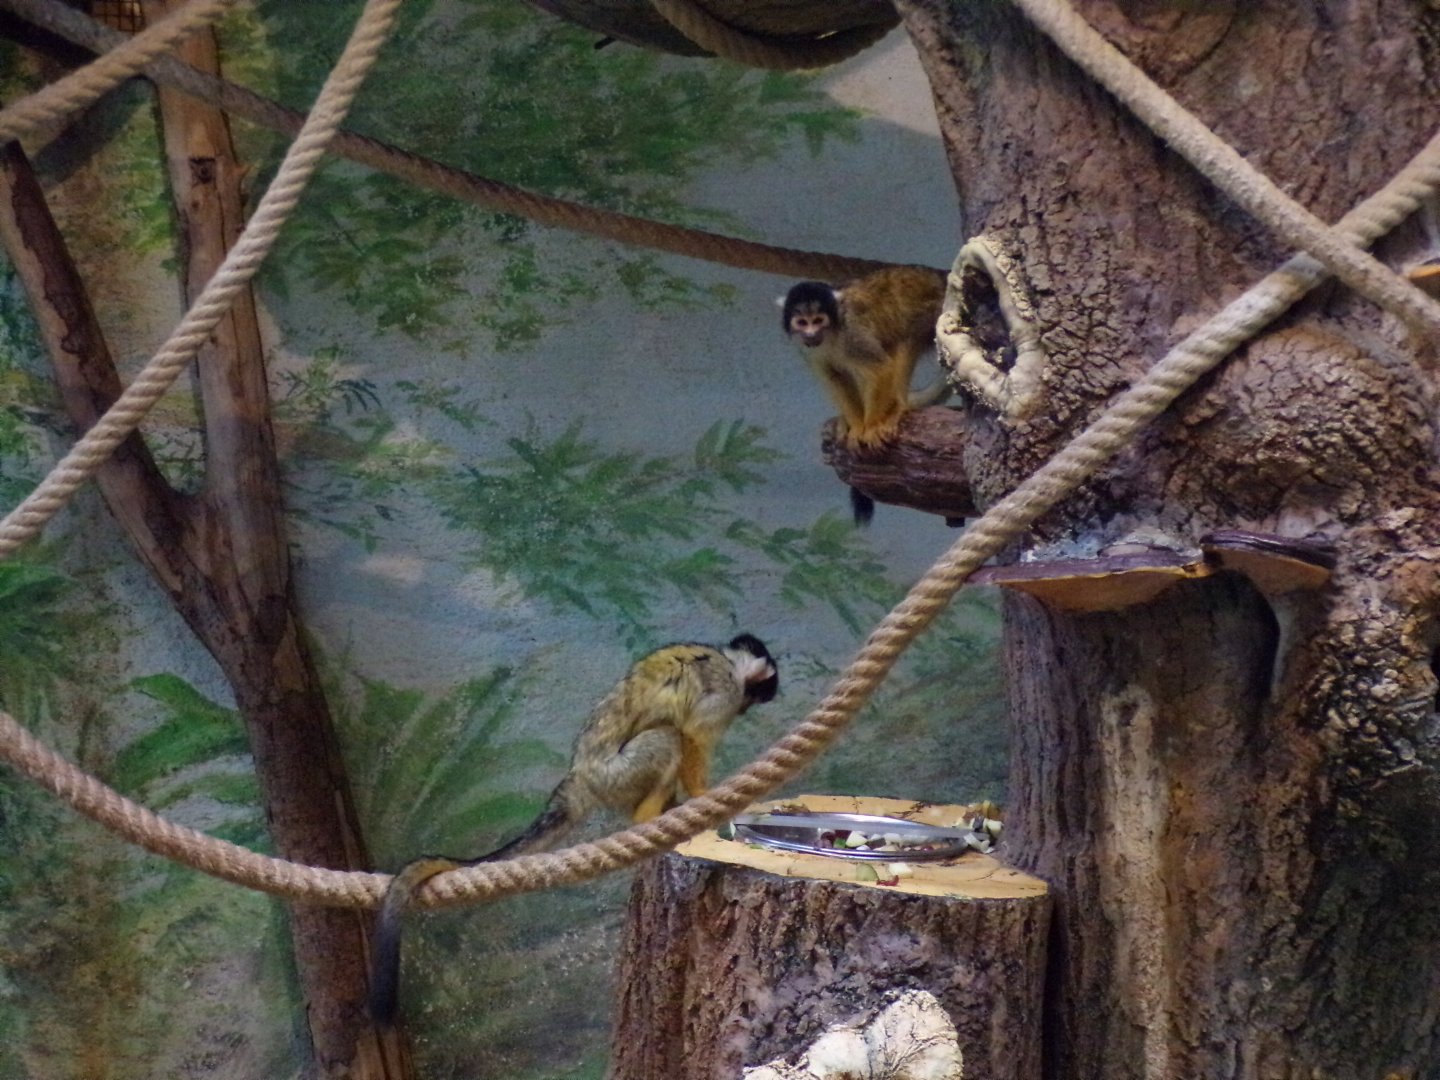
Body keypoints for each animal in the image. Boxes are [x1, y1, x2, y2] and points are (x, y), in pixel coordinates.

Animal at [368, 633, 779, 1026]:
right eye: (753, 696)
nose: (746, 708)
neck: (729, 661)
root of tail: (580, 776)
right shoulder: (723, 690)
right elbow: (693, 734)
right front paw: (702, 796)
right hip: (619, 775)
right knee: (667, 736)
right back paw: (648, 815)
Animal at [782, 266, 950, 524]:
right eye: (802, 322)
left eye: (818, 321)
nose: (811, 333)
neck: (831, 333)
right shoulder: (809, 351)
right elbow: (835, 378)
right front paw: (854, 425)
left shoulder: (852, 334)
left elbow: (879, 368)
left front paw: (869, 427)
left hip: (934, 314)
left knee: (903, 340)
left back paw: (898, 407)